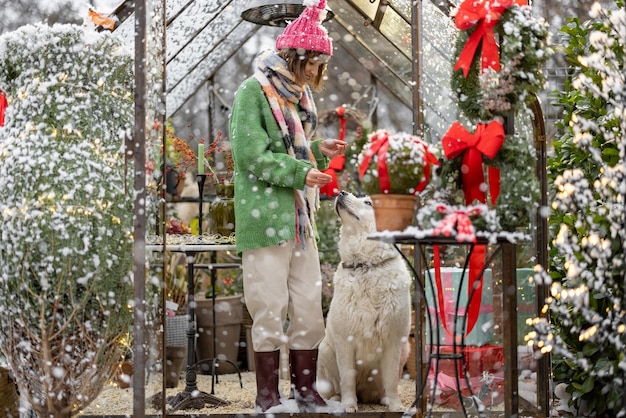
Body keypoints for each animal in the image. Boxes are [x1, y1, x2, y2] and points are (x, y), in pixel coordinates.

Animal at [316, 191, 410, 414]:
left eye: (368, 202)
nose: (341, 192)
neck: (366, 265)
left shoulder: (394, 341)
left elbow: (392, 380)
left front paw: (395, 406)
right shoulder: (345, 341)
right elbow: (347, 379)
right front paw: (349, 405)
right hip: (325, 350)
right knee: (335, 387)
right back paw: (337, 399)